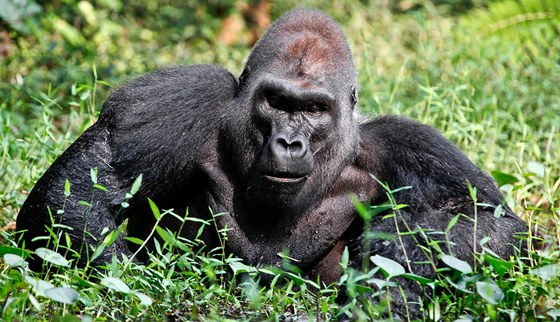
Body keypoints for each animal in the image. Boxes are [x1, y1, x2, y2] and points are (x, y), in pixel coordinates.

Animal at [16, 8, 524, 316]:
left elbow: (486, 218)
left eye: (315, 109)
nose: (289, 142)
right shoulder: (183, 98)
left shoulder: (405, 146)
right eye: (277, 102)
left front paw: (396, 263)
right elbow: (84, 189)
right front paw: (131, 286)